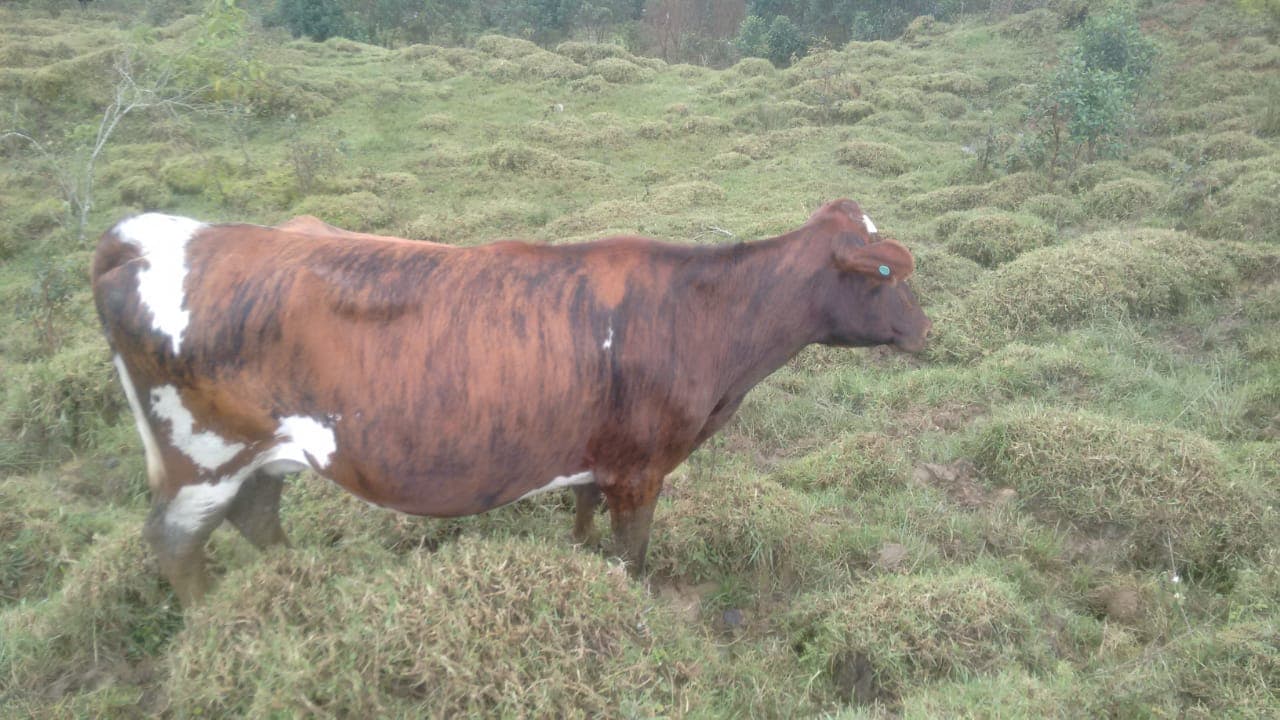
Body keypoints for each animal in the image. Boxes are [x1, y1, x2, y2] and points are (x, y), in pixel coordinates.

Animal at [91, 199, 931, 605]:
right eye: (888, 273)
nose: (928, 328)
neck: (699, 318)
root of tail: (156, 234)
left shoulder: (597, 460)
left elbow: (583, 524)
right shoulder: (640, 470)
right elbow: (632, 556)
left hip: (262, 453)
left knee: (258, 514)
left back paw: (294, 585)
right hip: (202, 457)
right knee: (176, 541)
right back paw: (216, 621)